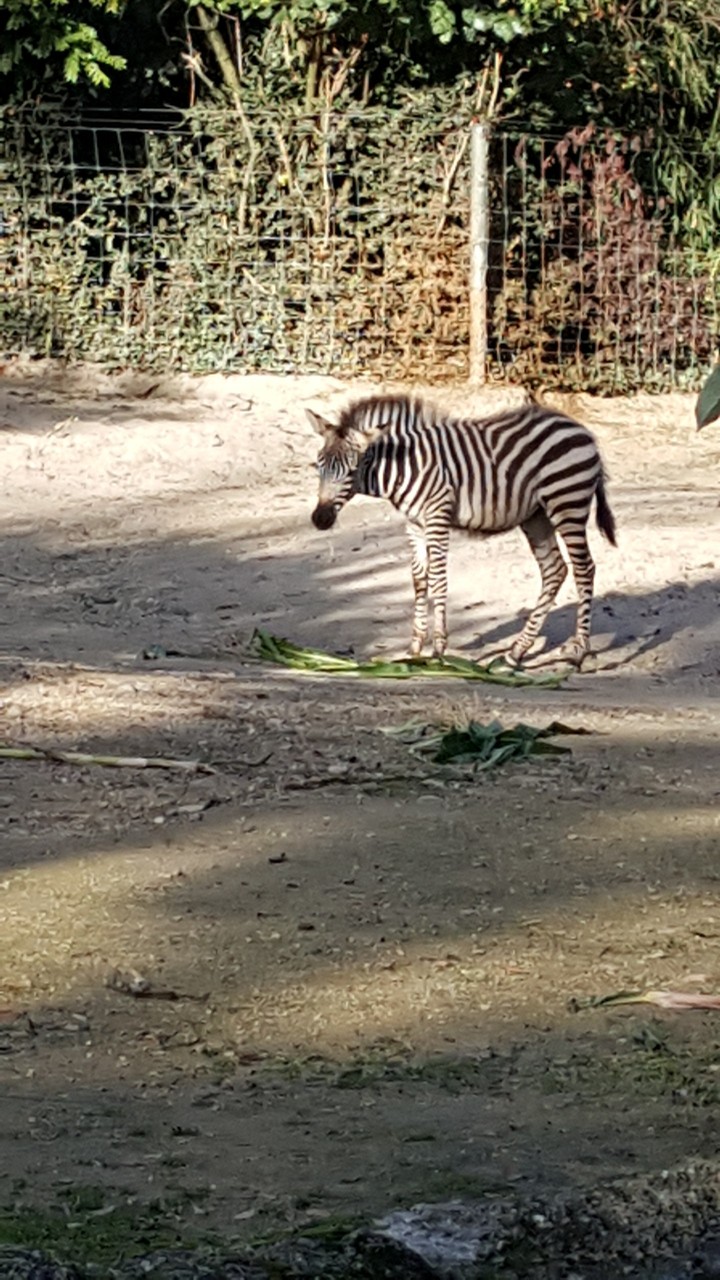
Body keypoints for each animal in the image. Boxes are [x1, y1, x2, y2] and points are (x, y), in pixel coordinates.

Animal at [308, 393, 616, 667]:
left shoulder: (437, 516)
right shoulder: (415, 524)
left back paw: (578, 651)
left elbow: (438, 579)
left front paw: (438, 649)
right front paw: (415, 647)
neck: (406, 465)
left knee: (584, 568)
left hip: (567, 503)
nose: (320, 519)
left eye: (352, 470)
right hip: (536, 515)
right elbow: (419, 579)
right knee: (555, 570)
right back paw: (516, 652)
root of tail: (581, 430)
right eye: (318, 465)